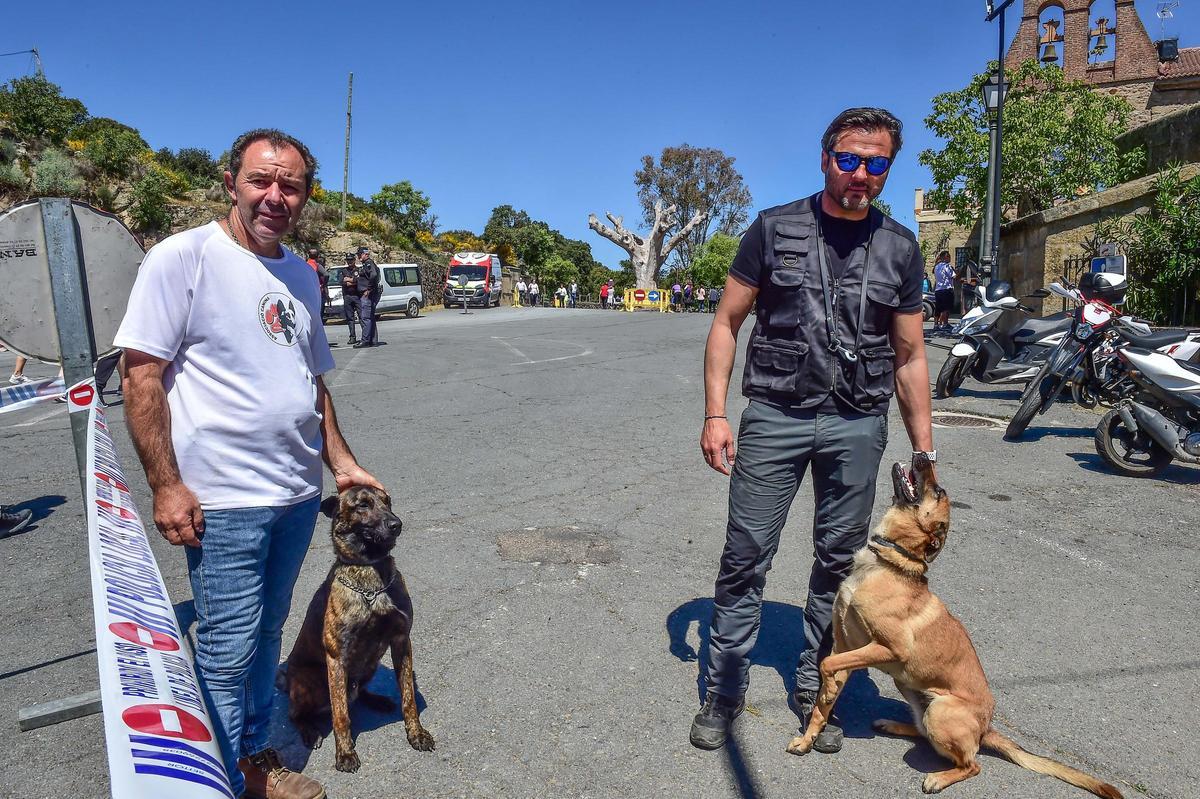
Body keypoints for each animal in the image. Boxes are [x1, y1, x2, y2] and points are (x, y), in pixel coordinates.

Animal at [278, 482, 434, 767]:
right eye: (362, 505)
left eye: (387, 502)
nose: (396, 524)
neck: (370, 572)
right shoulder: (337, 657)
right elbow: (340, 713)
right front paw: (345, 752)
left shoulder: (401, 641)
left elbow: (408, 697)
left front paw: (416, 733)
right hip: (311, 681)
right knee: (297, 713)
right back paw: (309, 730)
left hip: (370, 664)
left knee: (358, 693)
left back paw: (377, 700)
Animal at [787, 460, 1123, 796]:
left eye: (938, 492)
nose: (923, 458)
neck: (887, 563)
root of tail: (986, 728)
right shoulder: (846, 646)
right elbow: (823, 697)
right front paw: (808, 738)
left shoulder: (888, 648)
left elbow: (826, 665)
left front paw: (828, 691)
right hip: (908, 687)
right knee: (925, 733)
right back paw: (893, 725)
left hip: (941, 711)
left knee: (972, 764)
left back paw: (938, 777)